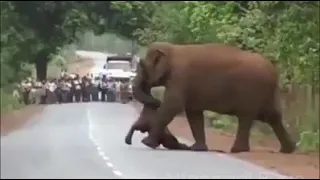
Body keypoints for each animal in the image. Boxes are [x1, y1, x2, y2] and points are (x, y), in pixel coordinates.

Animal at [132, 41, 296, 153]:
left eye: (143, 66)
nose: (156, 101)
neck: (172, 49)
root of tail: (273, 71)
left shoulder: (180, 77)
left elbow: (173, 105)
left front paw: (146, 142)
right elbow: (193, 112)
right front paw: (198, 149)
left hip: (252, 90)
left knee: (246, 117)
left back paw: (238, 150)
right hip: (267, 93)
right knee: (272, 116)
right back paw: (288, 150)